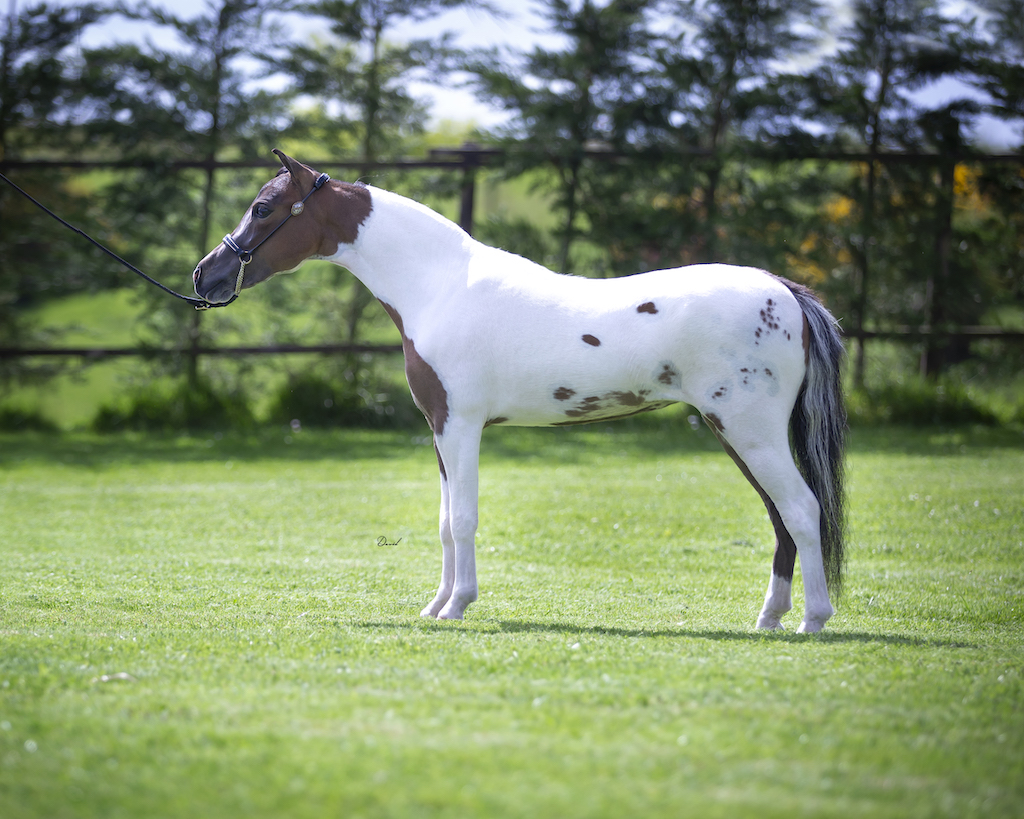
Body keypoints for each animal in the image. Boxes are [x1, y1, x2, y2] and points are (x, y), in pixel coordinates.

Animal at [193, 150, 847, 633]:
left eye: (264, 208)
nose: (206, 275)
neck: (440, 286)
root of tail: (785, 292)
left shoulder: (460, 426)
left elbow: (463, 517)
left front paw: (457, 606)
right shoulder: (440, 431)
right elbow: (443, 520)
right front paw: (436, 606)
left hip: (750, 431)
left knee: (801, 509)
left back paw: (812, 620)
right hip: (736, 433)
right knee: (781, 518)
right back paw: (769, 618)